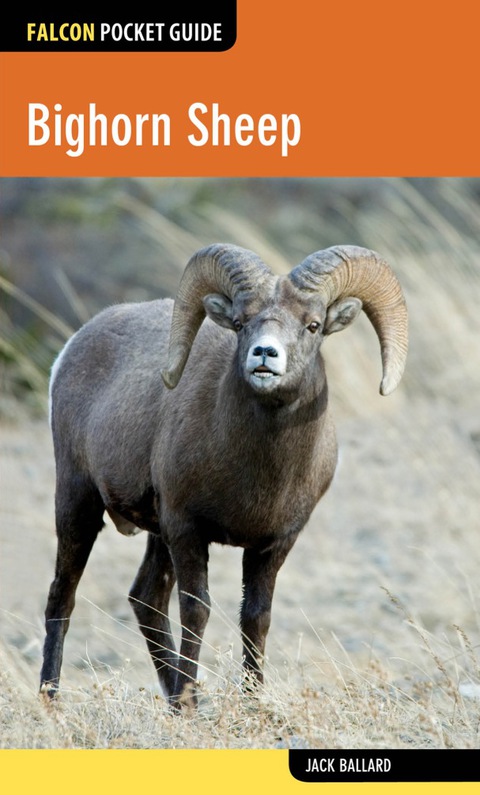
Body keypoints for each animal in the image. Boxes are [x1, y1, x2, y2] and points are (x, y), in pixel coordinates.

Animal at [40, 243, 408, 709]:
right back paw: (52, 700)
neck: (258, 474)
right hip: (78, 503)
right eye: (240, 322)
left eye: (313, 325)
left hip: (153, 534)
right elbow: (196, 611)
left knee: (146, 600)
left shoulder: (274, 543)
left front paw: (248, 701)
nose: (265, 355)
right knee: (62, 597)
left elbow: (256, 617)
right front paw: (190, 704)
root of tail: (72, 348)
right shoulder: (187, 530)